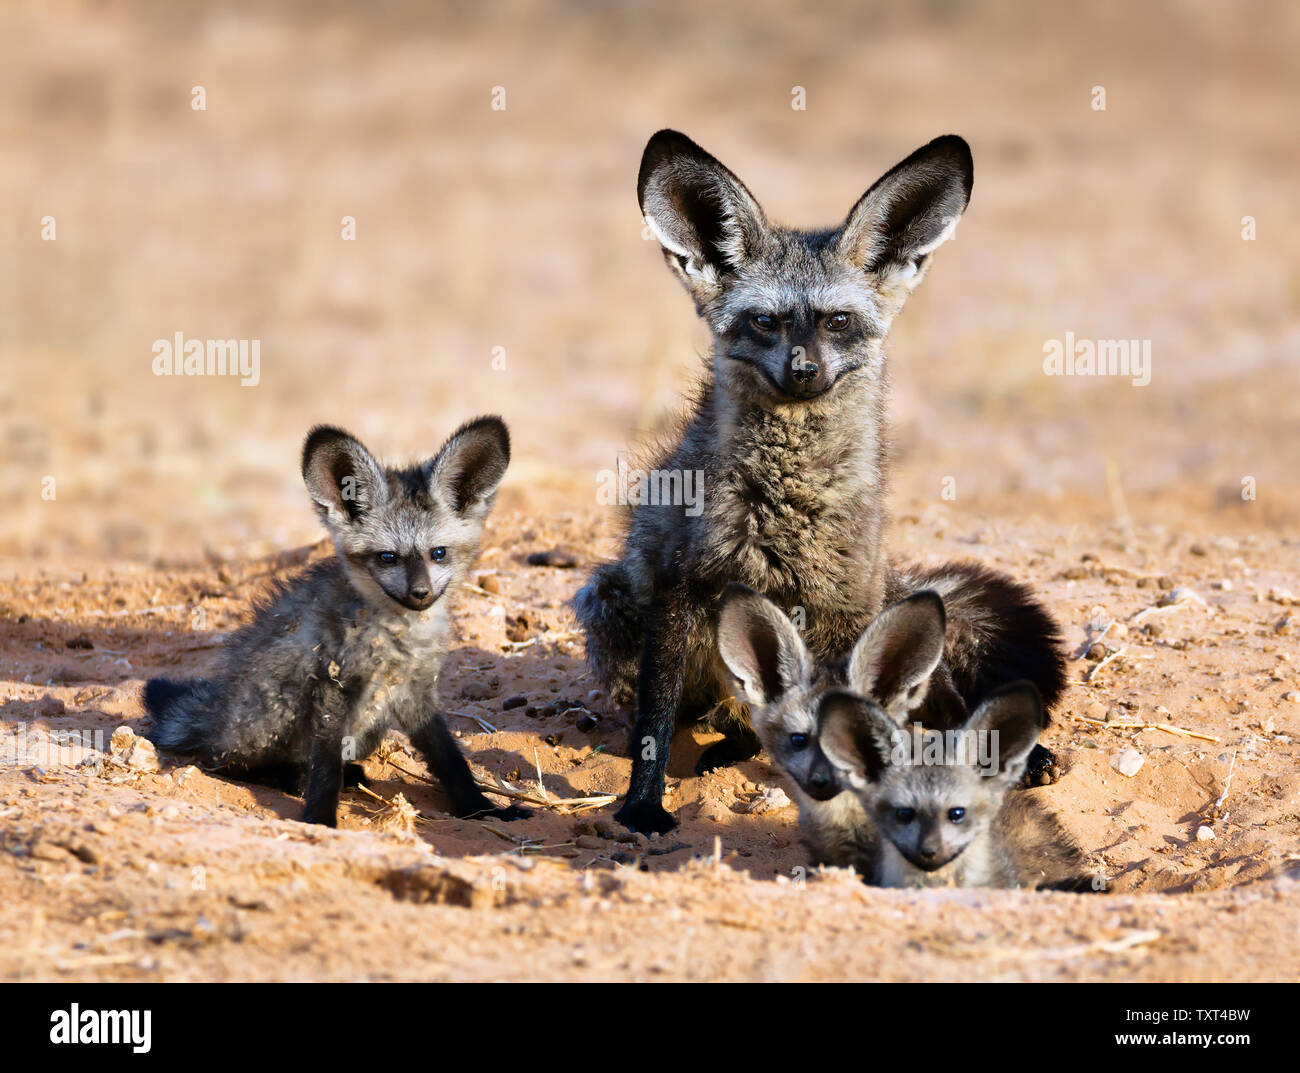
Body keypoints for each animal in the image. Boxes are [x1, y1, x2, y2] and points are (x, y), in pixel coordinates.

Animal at [143, 418, 529, 828]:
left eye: (438, 553)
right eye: (388, 557)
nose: (420, 593)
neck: (399, 640)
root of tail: (214, 714)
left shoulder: (418, 693)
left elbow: (450, 760)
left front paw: (483, 809)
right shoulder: (333, 687)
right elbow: (326, 768)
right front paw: (321, 820)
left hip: (370, 727)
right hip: (275, 710)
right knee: (226, 762)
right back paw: (288, 777)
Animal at [573, 128, 976, 833]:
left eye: (837, 321)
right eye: (766, 320)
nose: (804, 370)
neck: (790, 506)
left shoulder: (850, 605)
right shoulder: (680, 588)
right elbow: (654, 722)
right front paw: (643, 805)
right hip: (610, 599)